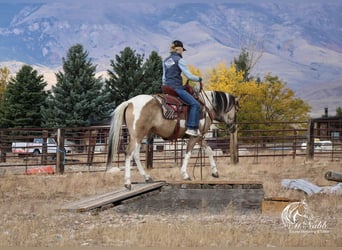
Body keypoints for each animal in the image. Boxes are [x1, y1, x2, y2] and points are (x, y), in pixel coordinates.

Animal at [105, 90, 239, 189]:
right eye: (237, 109)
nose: (234, 127)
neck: (206, 106)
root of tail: (129, 102)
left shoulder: (199, 136)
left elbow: (209, 150)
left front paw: (215, 172)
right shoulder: (195, 136)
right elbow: (188, 153)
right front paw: (185, 174)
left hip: (139, 136)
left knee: (136, 155)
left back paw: (147, 177)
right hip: (137, 135)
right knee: (129, 153)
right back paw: (128, 182)